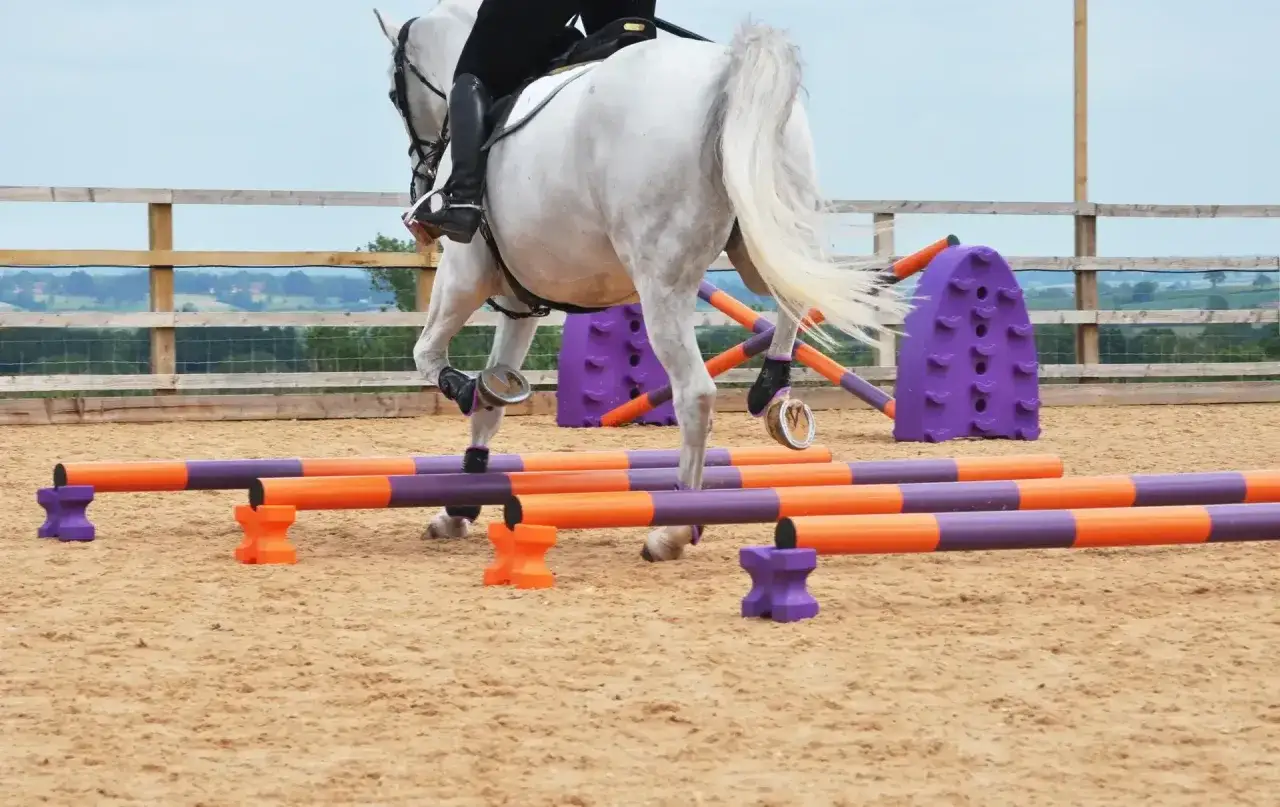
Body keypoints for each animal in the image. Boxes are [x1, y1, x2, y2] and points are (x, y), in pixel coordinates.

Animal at [373, 0, 906, 562]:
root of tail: (726, 71)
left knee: (695, 393)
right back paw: (771, 388)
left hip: (662, 283)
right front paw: (459, 507)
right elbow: (493, 405)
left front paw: (464, 393)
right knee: (791, 299)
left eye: (394, 94)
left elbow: (429, 356)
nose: (420, 180)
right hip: (764, 234)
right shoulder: (521, 302)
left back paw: (673, 529)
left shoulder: (463, 279)